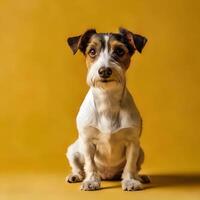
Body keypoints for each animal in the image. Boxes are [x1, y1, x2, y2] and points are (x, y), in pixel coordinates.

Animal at [65, 27, 149, 191]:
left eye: (119, 51)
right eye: (92, 51)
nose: (104, 71)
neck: (107, 100)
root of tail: (107, 176)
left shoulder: (133, 142)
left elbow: (130, 165)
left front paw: (130, 181)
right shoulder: (87, 142)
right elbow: (90, 164)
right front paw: (91, 181)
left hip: (141, 152)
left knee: (135, 167)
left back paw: (139, 177)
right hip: (73, 150)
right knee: (78, 167)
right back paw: (76, 176)